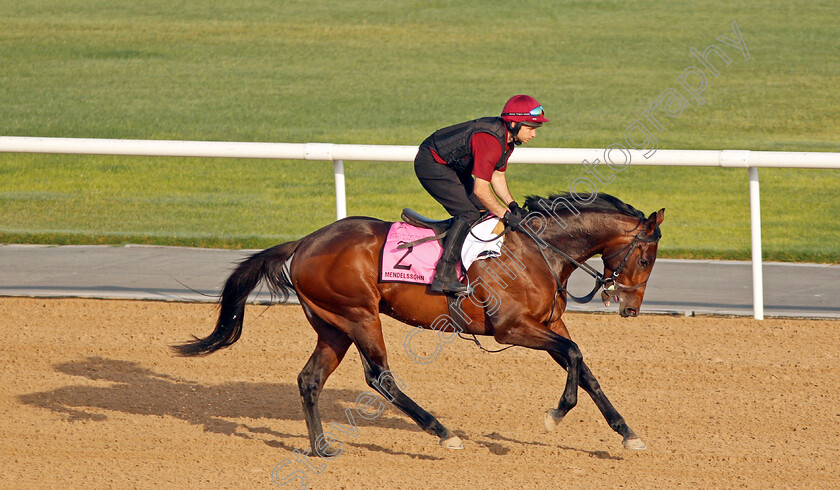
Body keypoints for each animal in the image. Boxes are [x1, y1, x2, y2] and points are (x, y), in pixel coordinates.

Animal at [174, 193, 668, 454]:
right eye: (645, 258)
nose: (631, 308)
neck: (538, 250)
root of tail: (305, 242)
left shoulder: (550, 325)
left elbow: (584, 367)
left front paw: (627, 434)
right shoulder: (513, 328)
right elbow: (574, 357)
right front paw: (555, 413)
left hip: (333, 326)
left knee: (309, 379)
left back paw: (321, 447)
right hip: (359, 316)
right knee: (380, 377)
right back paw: (442, 432)